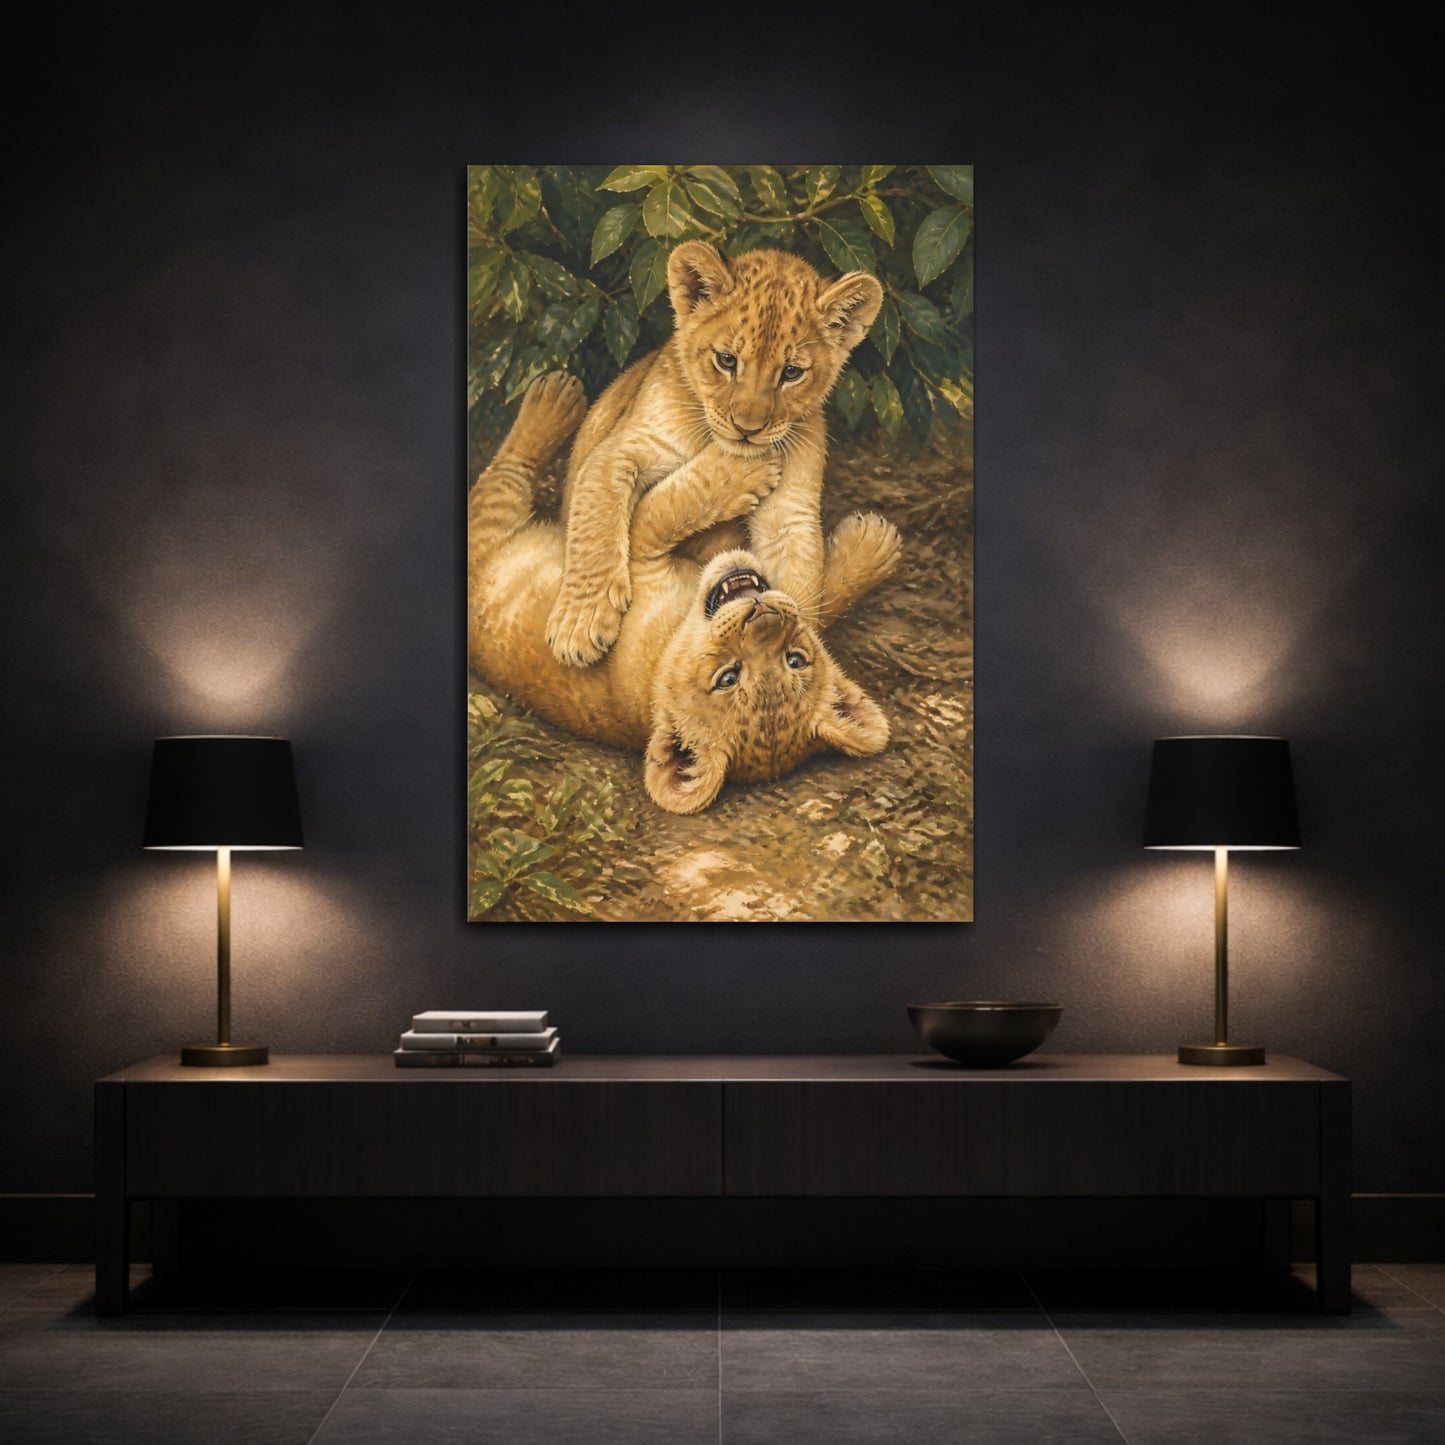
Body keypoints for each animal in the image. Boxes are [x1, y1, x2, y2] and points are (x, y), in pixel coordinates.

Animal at [468, 371, 901, 815]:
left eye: (792, 660)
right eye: (729, 677)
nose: (761, 614)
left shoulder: (647, 554)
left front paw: (872, 542)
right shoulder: (646, 553)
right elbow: (672, 508)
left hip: (493, 523)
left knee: (501, 477)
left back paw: (554, 398)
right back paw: (555, 393)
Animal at [543, 243, 884, 667]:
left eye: (791, 372)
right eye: (726, 360)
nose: (748, 427)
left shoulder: (789, 515)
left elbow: (801, 585)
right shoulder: (620, 450)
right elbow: (596, 526)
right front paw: (579, 624)